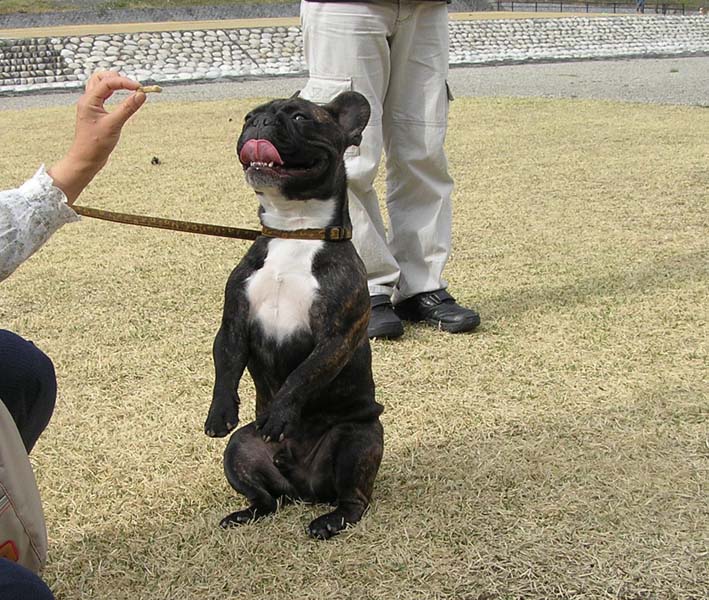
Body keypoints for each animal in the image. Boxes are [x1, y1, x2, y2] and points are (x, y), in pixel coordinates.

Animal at [204, 91, 384, 539]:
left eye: (302, 118)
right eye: (248, 116)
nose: (259, 122)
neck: (295, 230)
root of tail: (306, 489)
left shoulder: (335, 337)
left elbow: (303, 374)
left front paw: (280, 414)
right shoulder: (233, 323)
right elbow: (225, 365)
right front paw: (219, 413)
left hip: (358, 439)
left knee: (354, 499)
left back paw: (331, 520)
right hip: (241, 450)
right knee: (268, 499)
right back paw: (245, 513)